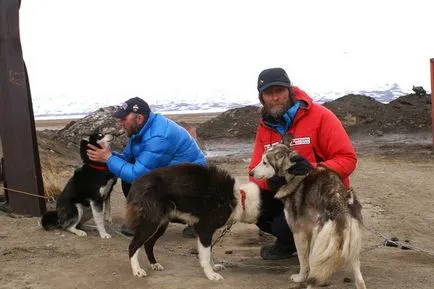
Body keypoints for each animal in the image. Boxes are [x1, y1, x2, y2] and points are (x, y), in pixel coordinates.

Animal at [251, 143, 366, 286]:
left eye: (265, 162)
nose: (250, 173)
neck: (293, 175)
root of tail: (340, 203)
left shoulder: (299, 233)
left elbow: (304, 262)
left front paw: (300, 277)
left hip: (319, 243)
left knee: (314, 275)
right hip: (352, 247)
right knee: (360, 280)